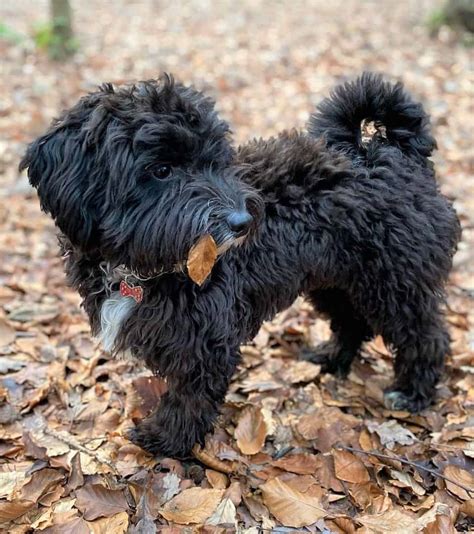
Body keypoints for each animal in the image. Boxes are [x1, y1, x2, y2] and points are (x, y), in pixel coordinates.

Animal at [21, 73, 460, 458]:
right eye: (161, 170)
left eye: (215, 162)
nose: (244, 222)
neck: (141, 267)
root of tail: (390, 154)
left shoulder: (205, 342)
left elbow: (189, 398)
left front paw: (167, 440)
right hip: (336, 281)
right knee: (352, 321)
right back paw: (331, 358)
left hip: (396, 281)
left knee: (426, 335)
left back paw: (413, 392)